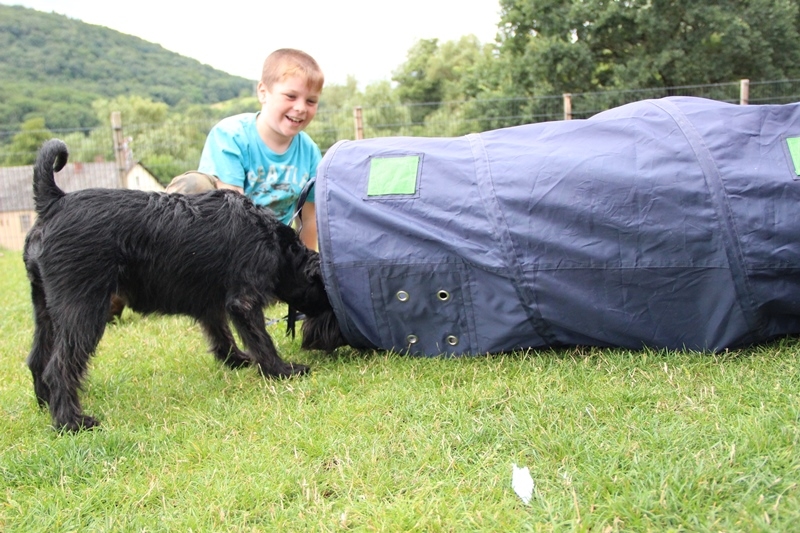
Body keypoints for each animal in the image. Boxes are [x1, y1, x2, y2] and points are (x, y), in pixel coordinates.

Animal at [22, 138, 338, 432]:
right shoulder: (244, 301)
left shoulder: (212, 302)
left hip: (46, 308)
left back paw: (45, 404)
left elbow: (221, 332)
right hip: (83, 310)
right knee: (58, 367)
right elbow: (261, 339)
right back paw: (71, 421)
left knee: (37, 358)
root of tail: (54, 202)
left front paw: (235, 359)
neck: (281, 248)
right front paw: (281, 370)